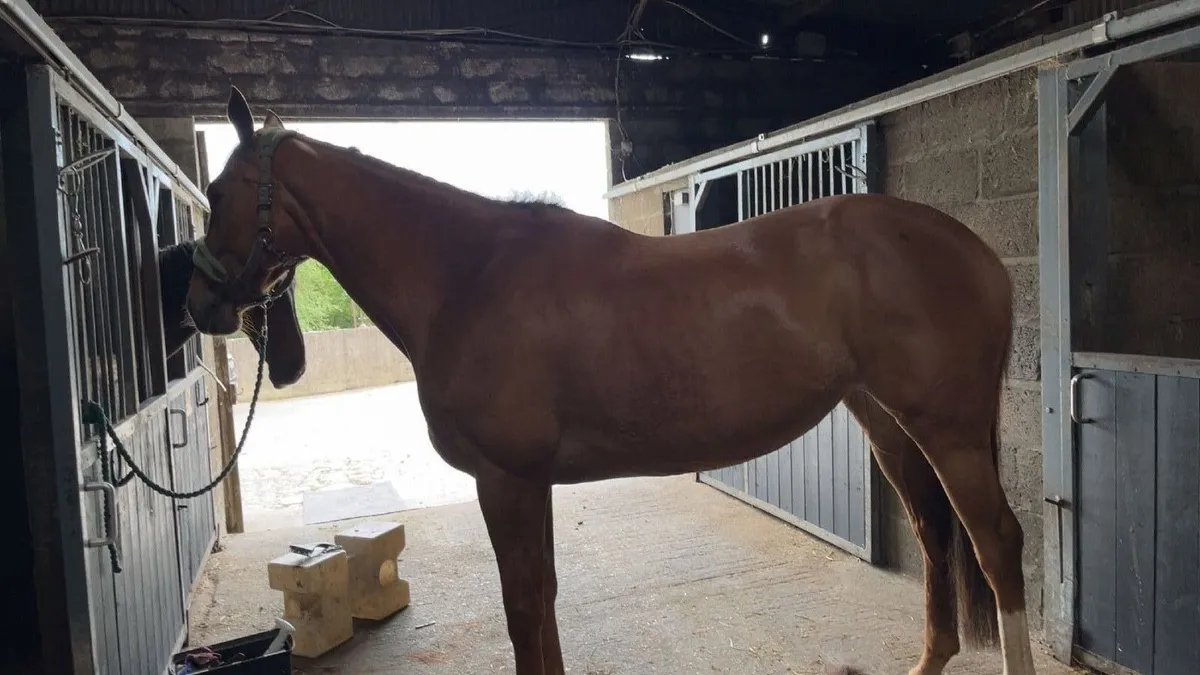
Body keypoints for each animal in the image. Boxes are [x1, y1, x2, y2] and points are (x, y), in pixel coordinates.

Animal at [184, 86, 1035, 675]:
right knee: (935, 534)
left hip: (950, 430)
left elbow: (524, 608)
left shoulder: (507, 479)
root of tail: (978, 250)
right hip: (888, 421)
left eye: (217, 195)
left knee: (996, 544)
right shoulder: (527, 483)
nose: (200, 304)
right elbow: (543, 601)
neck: (466, 274)